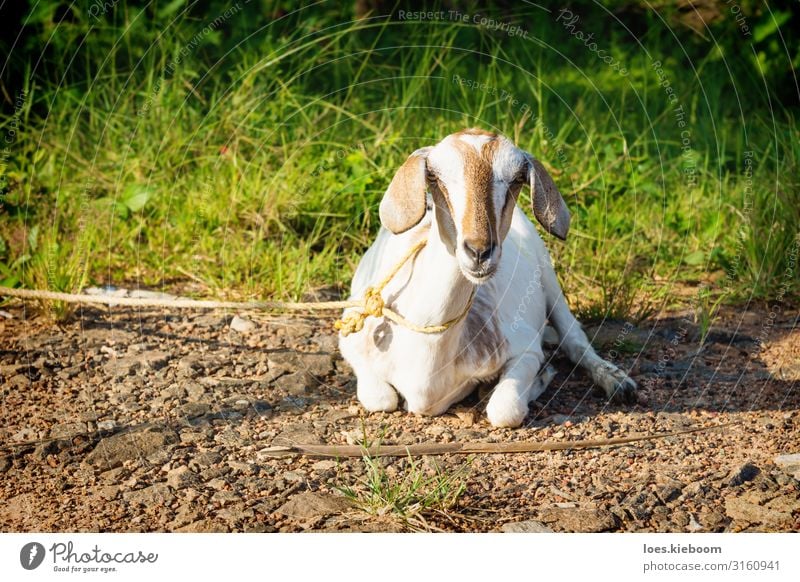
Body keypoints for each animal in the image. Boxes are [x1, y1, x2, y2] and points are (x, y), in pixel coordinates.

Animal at [340, 129, 636, 428]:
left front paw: (539, 376)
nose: (479, 251)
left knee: (574, 338)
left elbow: (505, 411)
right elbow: (382, 400)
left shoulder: (526, 348)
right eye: (434, 176)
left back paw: (619, 383)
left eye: (517, 178)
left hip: (549, 279)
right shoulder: (350, 341)